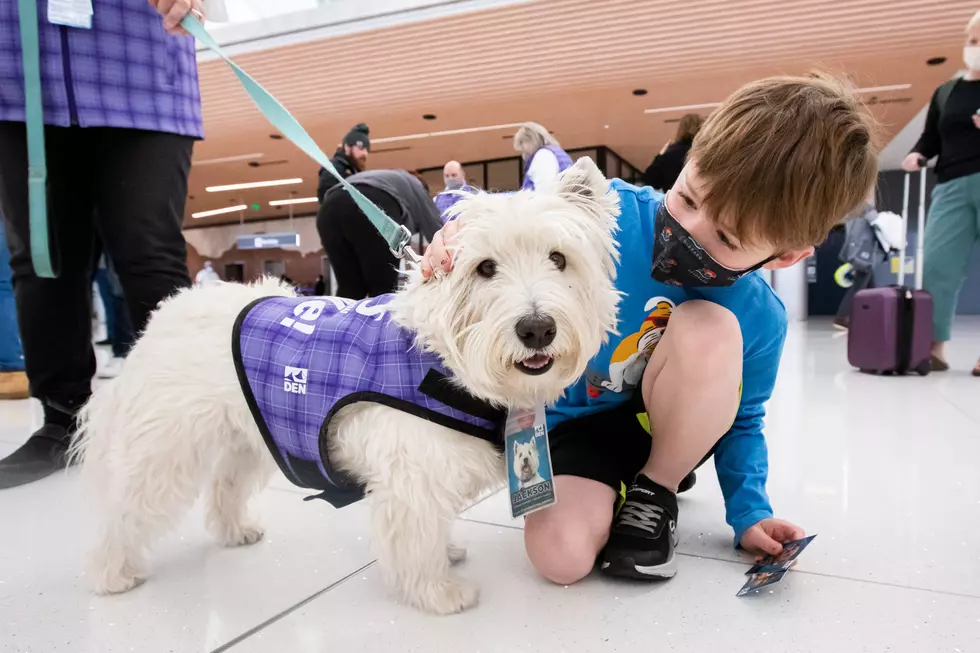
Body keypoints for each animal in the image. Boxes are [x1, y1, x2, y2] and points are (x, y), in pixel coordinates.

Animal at [72, 155, 620, 612]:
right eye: (485, 268)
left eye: (558, 258)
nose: (537, 329)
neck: (442, 358)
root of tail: (164, 315)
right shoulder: (411, 476)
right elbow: (416, 538)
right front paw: (439, 592)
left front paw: (447, 555)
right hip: (165, 449)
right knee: (126, 509)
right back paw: (111, 573)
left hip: (248, 436)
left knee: (225, 486)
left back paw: (234, 532)